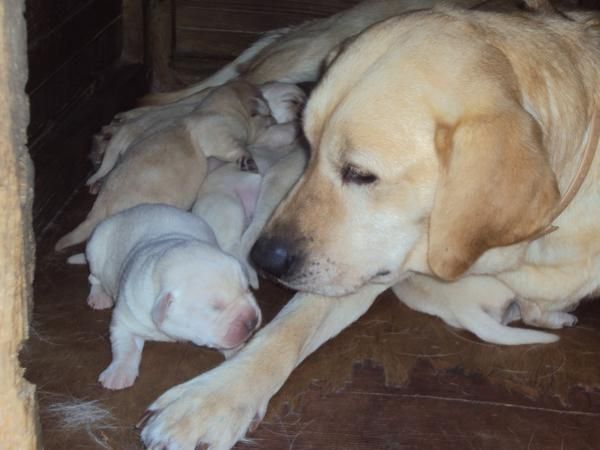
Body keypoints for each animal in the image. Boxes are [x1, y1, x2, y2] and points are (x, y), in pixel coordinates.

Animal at [55, 79, 272, 251]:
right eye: (267, 109)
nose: (274, 119)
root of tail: (97, 212)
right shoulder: (222, 139)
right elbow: (239, 148)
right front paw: (249, 161)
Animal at [76, 205, 262, 390]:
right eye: (215, 307)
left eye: (247, 288)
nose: (252, 321)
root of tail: (124, 212)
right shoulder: (126, 317)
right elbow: (126, 345)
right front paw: (118, 373)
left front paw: (239, 351)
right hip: (95, 247)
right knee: (93, 277)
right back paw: (99, 296)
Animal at [139, 0, 596, 450]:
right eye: (307, 145)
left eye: (359, 174)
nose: (263, 259)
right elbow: (283, 331)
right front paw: (210, 401)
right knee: (182, 103)